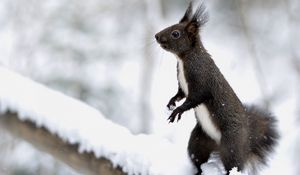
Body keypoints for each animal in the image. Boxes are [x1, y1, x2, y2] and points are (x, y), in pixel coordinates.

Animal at [155, 1, 278, 175]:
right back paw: (197, 171)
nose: (156, 36)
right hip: (199, 140)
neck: (184, 59)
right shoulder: (182, 86)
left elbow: (195, 98)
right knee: (197, 158)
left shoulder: (201, 80)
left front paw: (178, 110)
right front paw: (171, 102)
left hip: (231, 145)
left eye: (175, 33)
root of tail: (247, 142)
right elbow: (180, 94)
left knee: (233, 165)